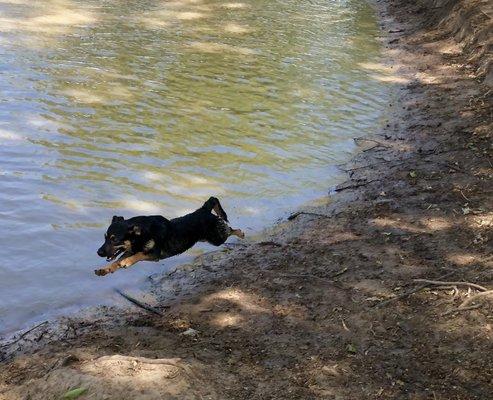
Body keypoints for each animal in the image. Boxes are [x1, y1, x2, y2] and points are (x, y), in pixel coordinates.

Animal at [93, 196, 243, 276]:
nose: (98, 252)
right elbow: (116, 261)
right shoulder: (129, 250)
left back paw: (241, 233)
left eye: (115, 240)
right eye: (105, 237)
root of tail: (203, 210)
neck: (142, 235)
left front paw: (127, 262)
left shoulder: (154, 255)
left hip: (217, 238)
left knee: (231, 229)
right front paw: (105, 269)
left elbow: (138, 255)